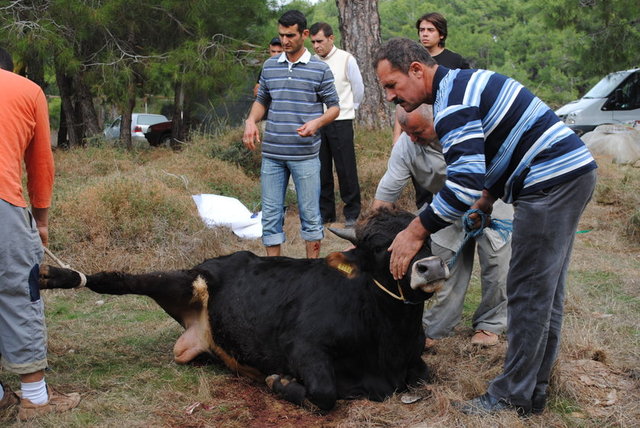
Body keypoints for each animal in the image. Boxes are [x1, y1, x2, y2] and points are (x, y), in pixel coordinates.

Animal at [40, 207, 448, 412]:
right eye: (379, 247)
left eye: (425, 236)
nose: (430, 267)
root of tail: (221, 259)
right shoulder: (304, 348)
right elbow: (324, 393)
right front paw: (279, 382)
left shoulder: (414, 361)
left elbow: (424, 374)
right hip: (184, 280)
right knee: (112, 280)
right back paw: (55, 274)